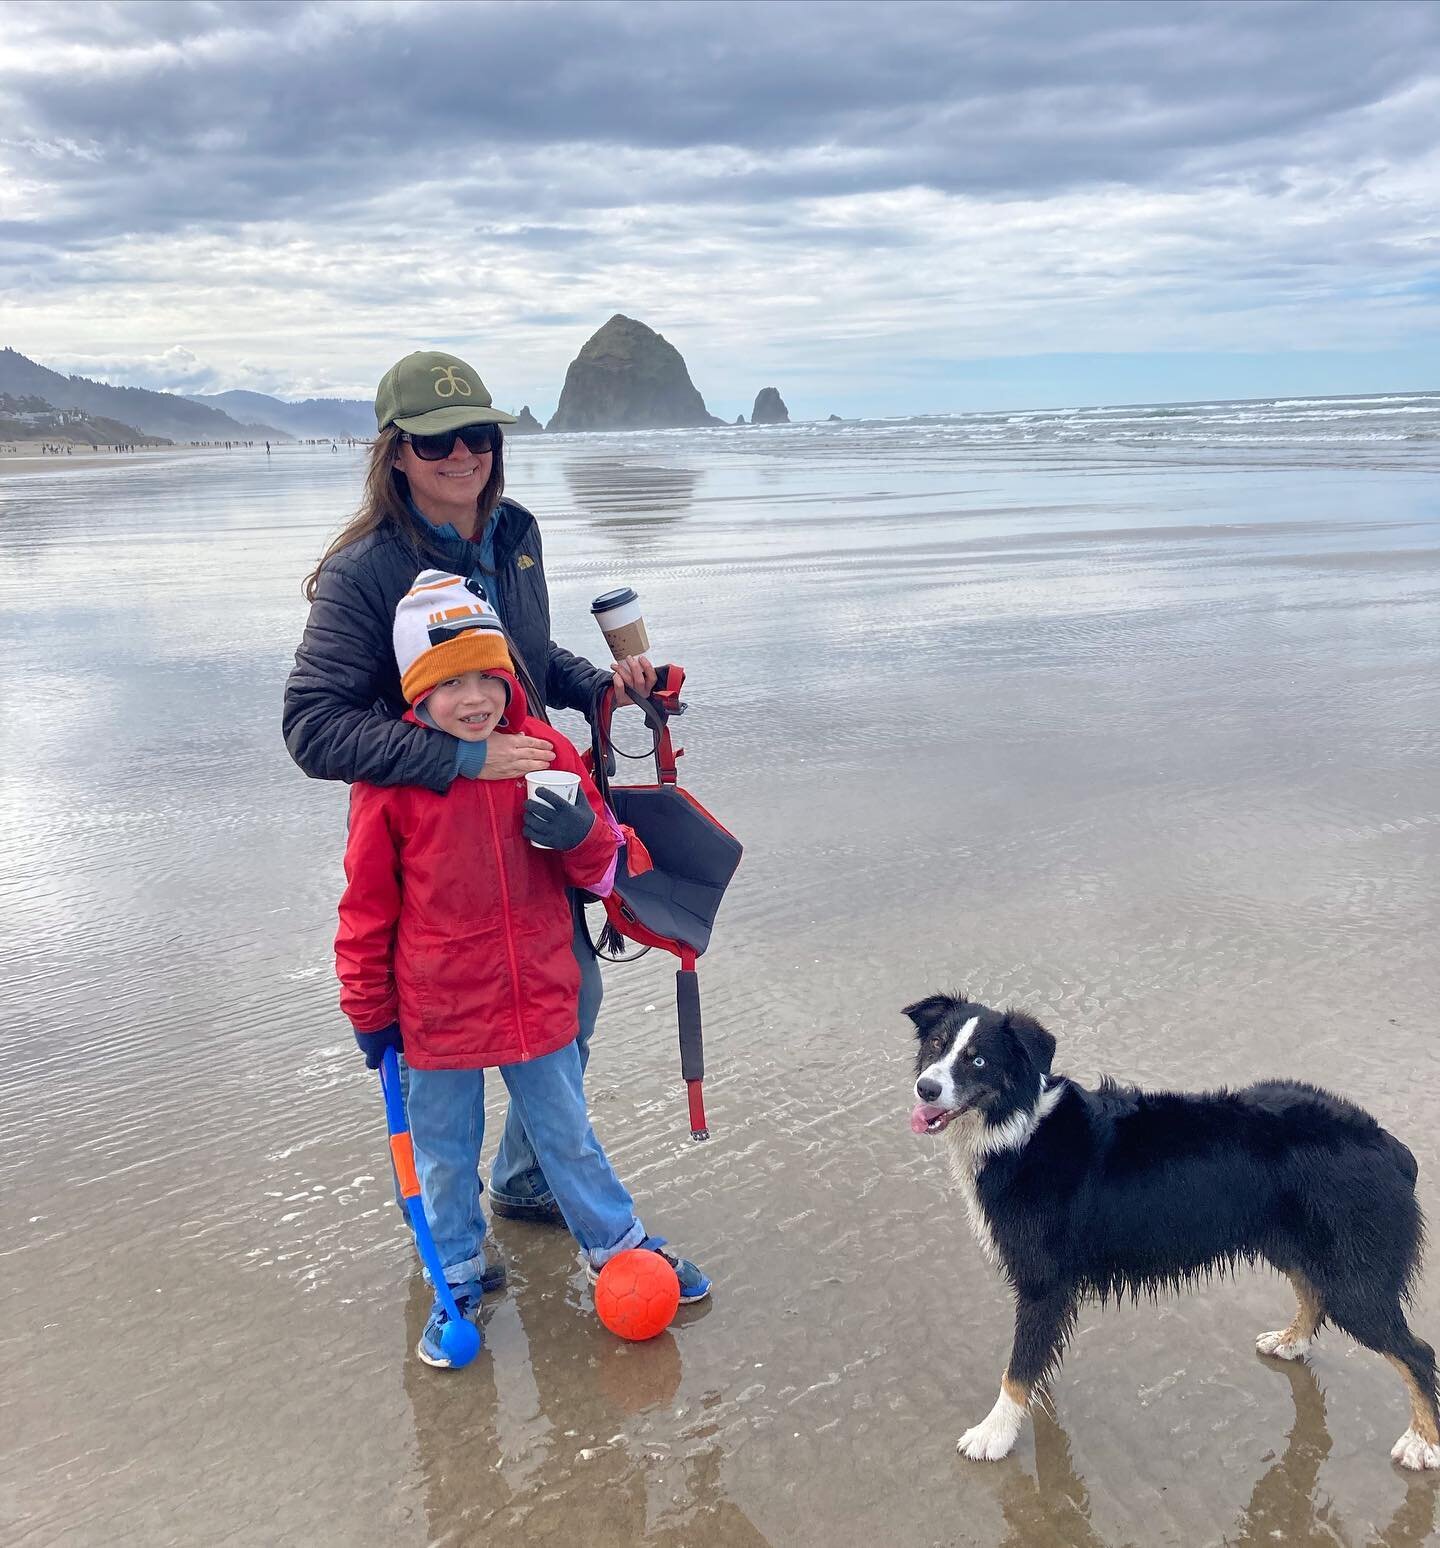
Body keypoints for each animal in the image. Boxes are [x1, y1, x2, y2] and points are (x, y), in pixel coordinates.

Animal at [910, 996, 1436, 1467]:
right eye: (936, 1045)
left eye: (978, 1060)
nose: (924, 1089)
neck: (1017, 1128)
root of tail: (1388, 1144)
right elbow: (1034, 1355)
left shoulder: (1043, 1281)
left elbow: (1016, 1368)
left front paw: (993, 1434)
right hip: (1293, 1245)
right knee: (1313, 1293)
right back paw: (1291, 1341)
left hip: (1354, 1277)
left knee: (1416, 1352)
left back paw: (1422, 1443)